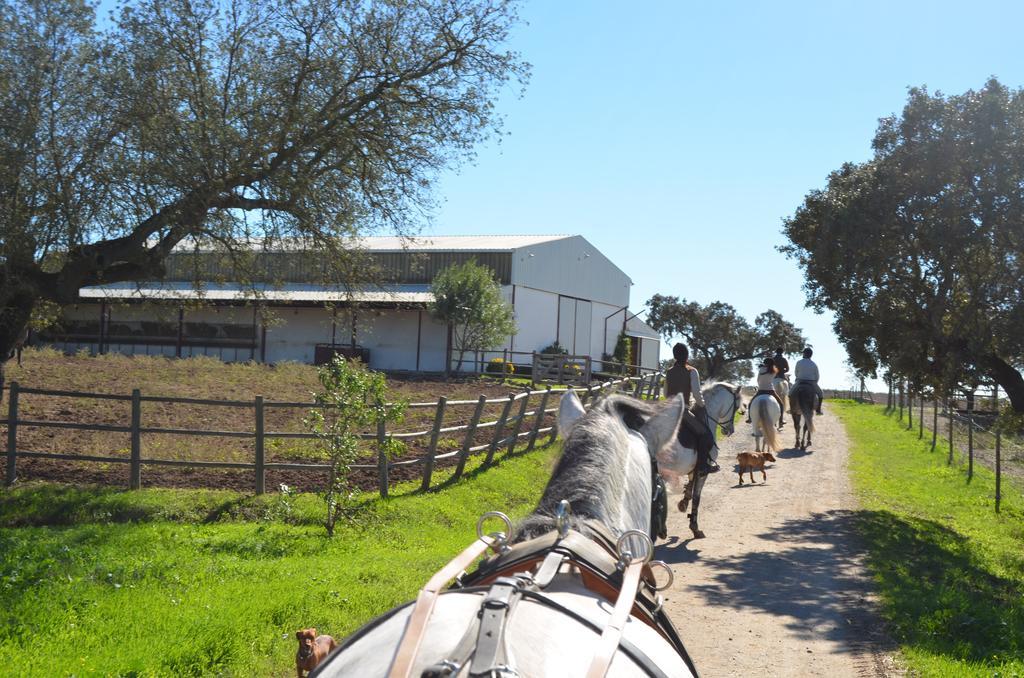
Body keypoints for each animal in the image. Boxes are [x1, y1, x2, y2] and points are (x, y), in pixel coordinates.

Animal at [655, 385, 745, 540]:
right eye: (736, 406)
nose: (729, 430)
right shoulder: (703, 471)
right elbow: (697, 497)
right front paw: (695, 528)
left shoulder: (693, 469)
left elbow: (690, 489)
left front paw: (683, 503)